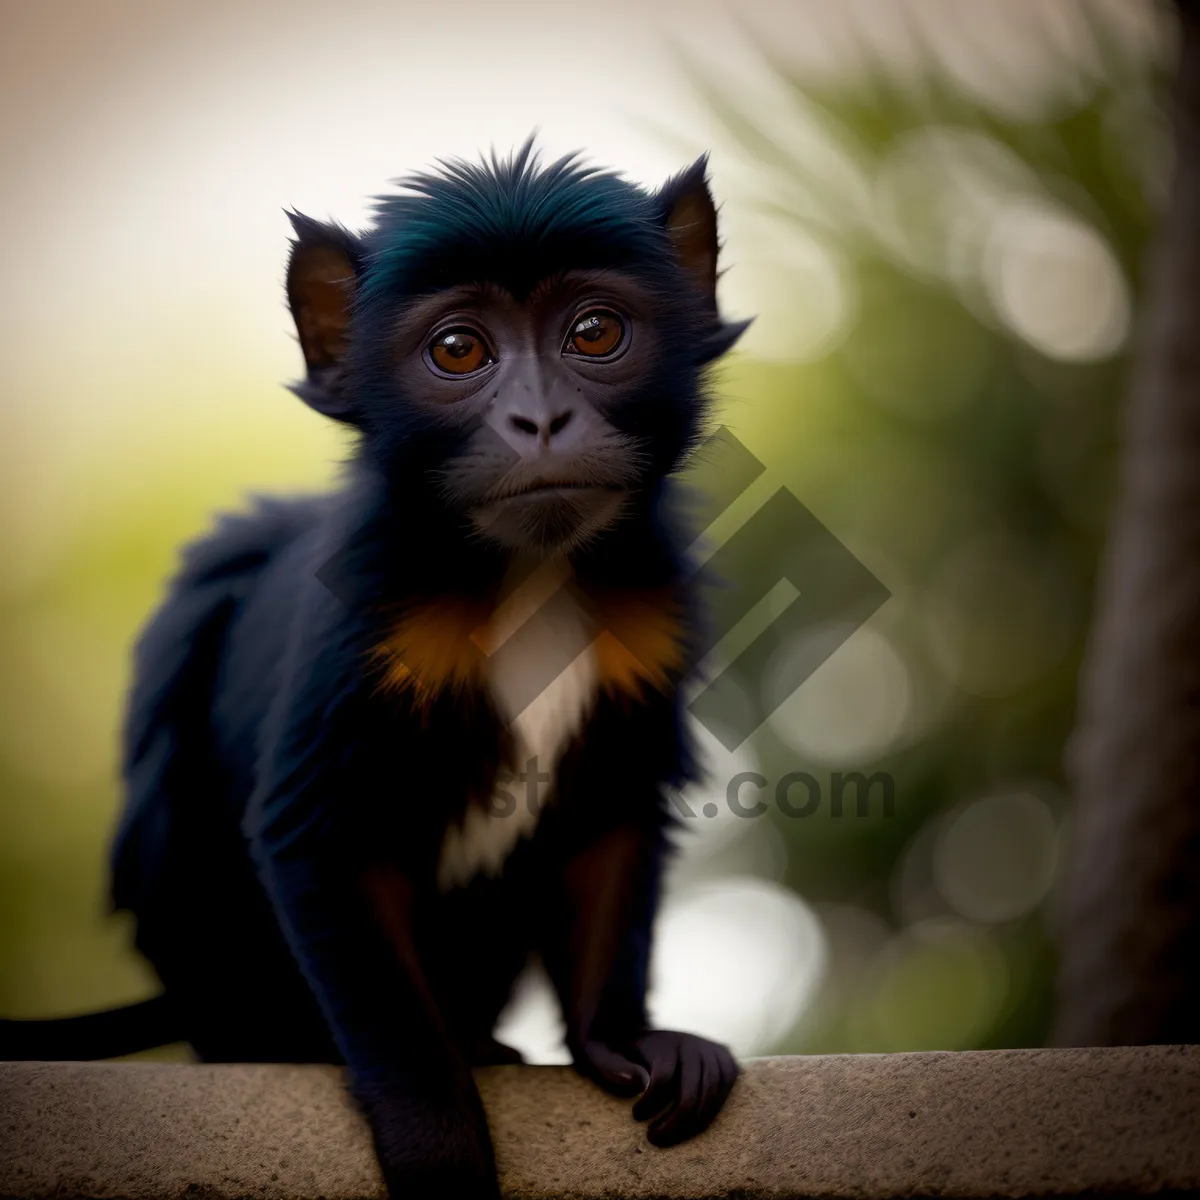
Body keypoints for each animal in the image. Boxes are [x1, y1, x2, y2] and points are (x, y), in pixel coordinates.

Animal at [0, 142, 748, 1200]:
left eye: (595, 332)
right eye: (460, 350)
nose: (542, 418)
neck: (527, 571)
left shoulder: (649, 624)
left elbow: (611, 819)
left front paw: (623, 1044)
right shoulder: (362, 620)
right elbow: (317, 846)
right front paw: (436, 1137)